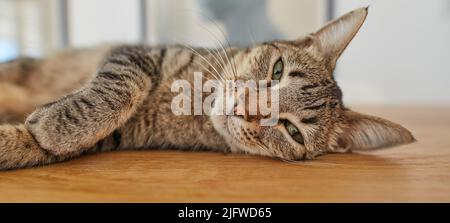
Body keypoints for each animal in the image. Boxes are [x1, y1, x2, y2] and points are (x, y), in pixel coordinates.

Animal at [0, 7, 414, 170]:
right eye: (278, 69)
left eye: (292, 131)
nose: (247, 107)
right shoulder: (136, 54)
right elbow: (119, 89)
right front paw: (60, 125)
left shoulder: (119, 136)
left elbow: (28, 144)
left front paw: (43, 132)